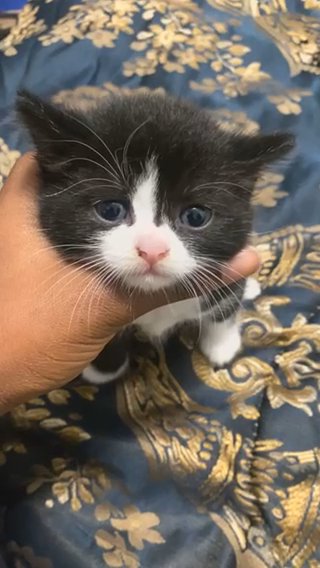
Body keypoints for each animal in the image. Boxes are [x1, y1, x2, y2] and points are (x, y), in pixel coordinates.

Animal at [16, 91, 294, 384]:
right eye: (110, 210)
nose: (152, 249)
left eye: (196, 216)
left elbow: (224, 306)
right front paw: (104, 370)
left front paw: (222, 345)